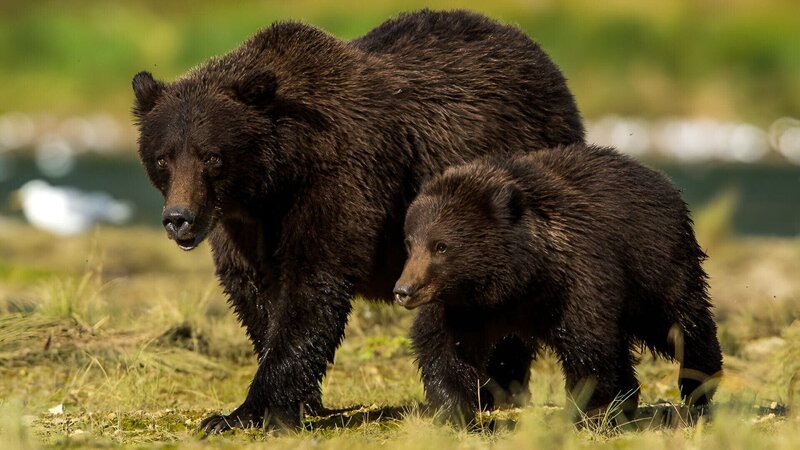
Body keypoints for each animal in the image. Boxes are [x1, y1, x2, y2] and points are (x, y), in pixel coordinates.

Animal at [132, 9, 584, 432]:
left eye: (211, 156)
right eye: (163, 158)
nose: (179, 218)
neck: (279, 173)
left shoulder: (343, 178)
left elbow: (312, 285)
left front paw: (241, 412)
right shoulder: (244, 222)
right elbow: (255, 292)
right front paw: (301, 401)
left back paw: (497, 385)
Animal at [393, 144, 723, 426]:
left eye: (441, 246)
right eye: (410, 242)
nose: (403, 290)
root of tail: (660, 178)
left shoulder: (577, 279)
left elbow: (588, 345)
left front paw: (589, 410)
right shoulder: (465, 307)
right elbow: (443, 348)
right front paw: (453, 410)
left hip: (655, 265)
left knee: (679, 321)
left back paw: (698, 383)